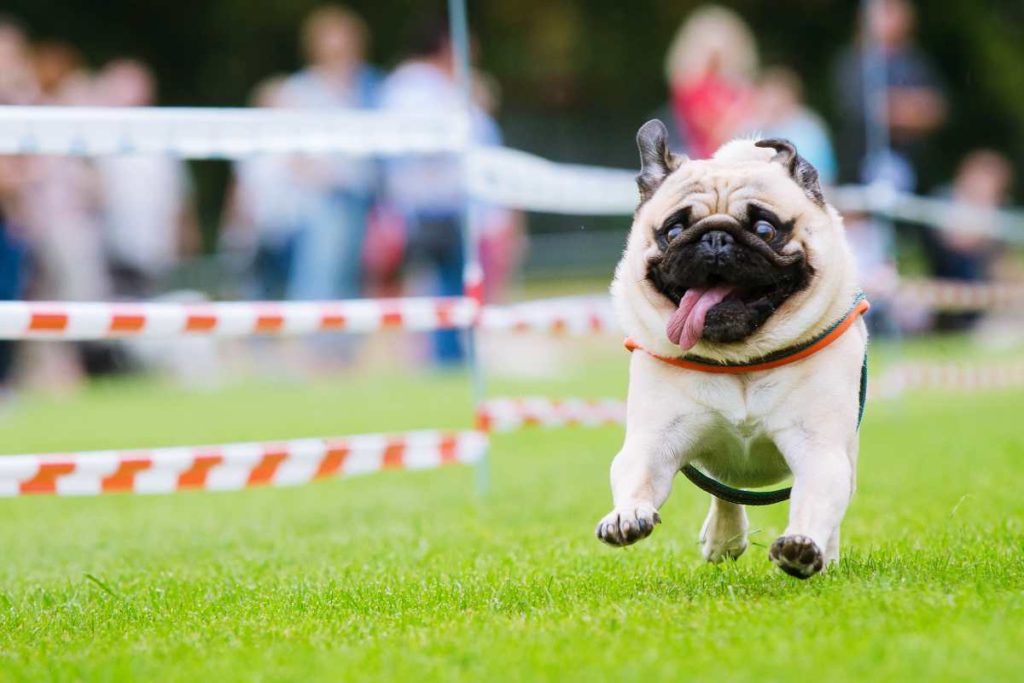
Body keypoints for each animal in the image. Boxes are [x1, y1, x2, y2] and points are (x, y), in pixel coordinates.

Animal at [598, 120, 868, 581]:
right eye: (673, 232)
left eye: (765, 231)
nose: (715, 238)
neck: (740, 360)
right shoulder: (654, 442)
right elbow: (637, 476)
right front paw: (628, 514)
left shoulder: (819, 448)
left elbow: (816, 498)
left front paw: (803, 545)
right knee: (726, 489)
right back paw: (723, 539)